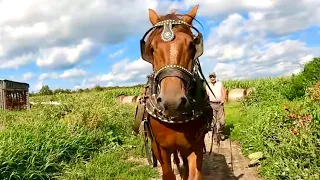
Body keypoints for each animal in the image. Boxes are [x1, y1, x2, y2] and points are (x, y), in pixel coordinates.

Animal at [136, 4, 214, 180]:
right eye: (151, 48)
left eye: (192, 45)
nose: (172, 102)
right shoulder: (159, 149)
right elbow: (168, 173)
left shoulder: (196, 147)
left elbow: (194, 173)